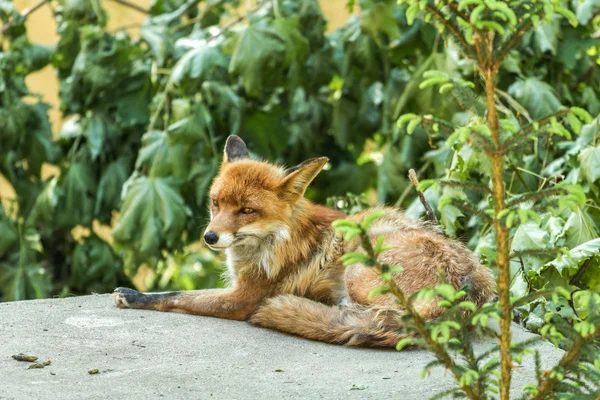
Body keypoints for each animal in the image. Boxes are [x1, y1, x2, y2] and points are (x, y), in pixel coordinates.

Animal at [115, 135, 494, 346]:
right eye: (216, 203)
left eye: (247, 210)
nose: (209, 237)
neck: (273, 239)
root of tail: (466, 294)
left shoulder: (243, 297)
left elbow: (177, 297)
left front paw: (135, 297)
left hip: (359, 266)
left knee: (367, 318)